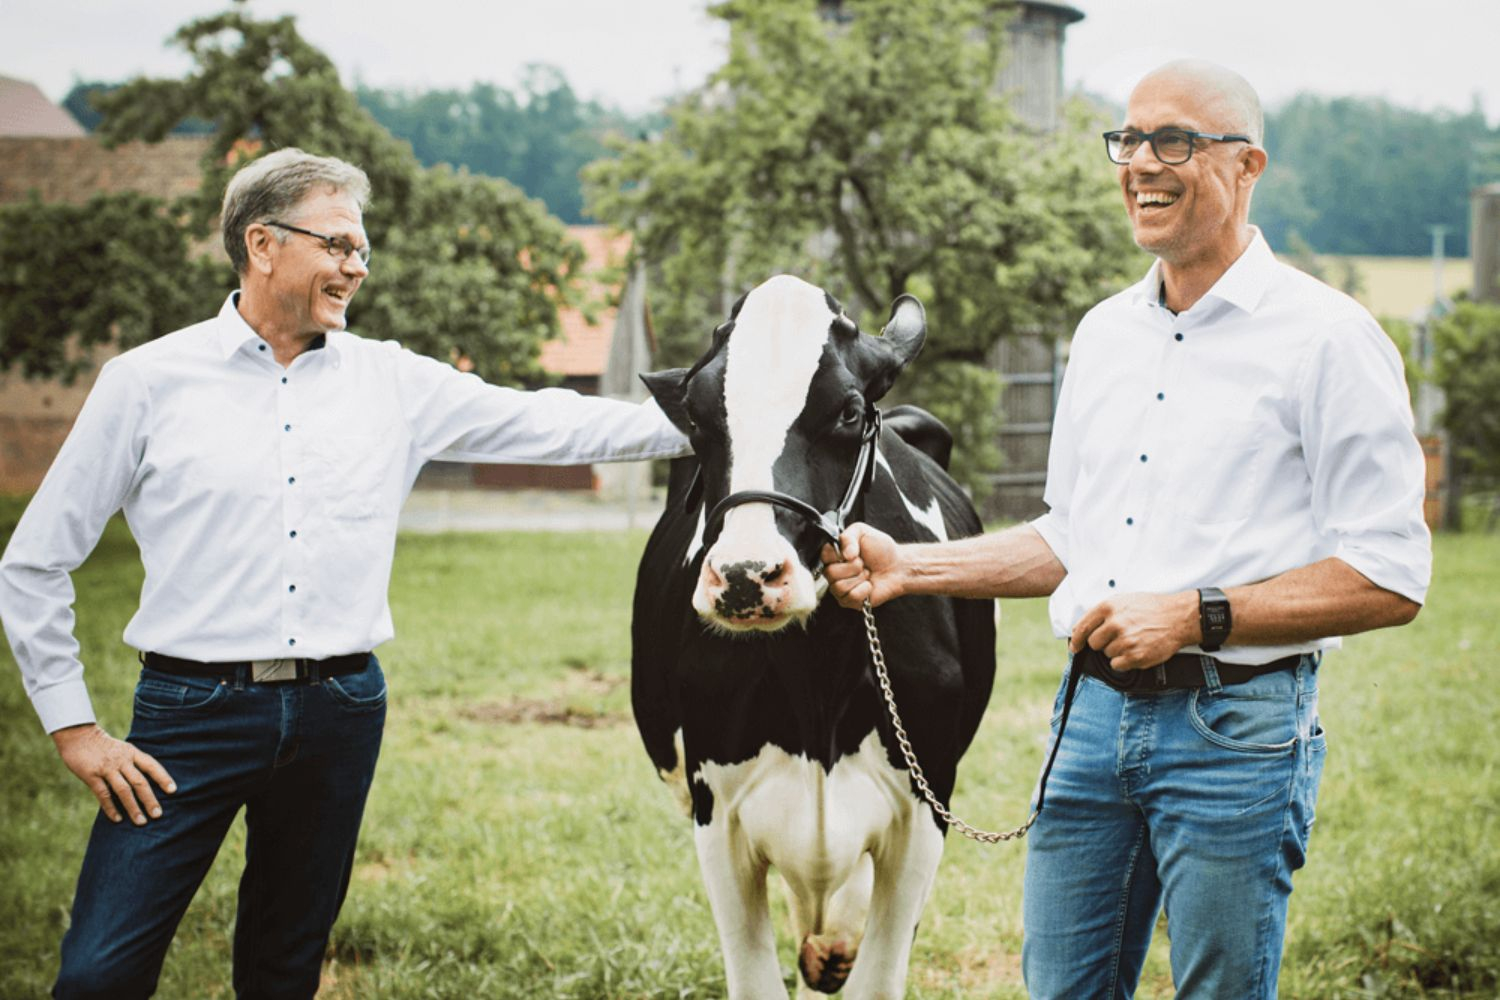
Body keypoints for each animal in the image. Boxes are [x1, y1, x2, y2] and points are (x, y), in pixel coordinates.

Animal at [631, 274, 997, 999]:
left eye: (849, 412)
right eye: (698, 418)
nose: (745, 575)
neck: (816, 688)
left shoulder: (926, 806)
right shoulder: (716, 812)